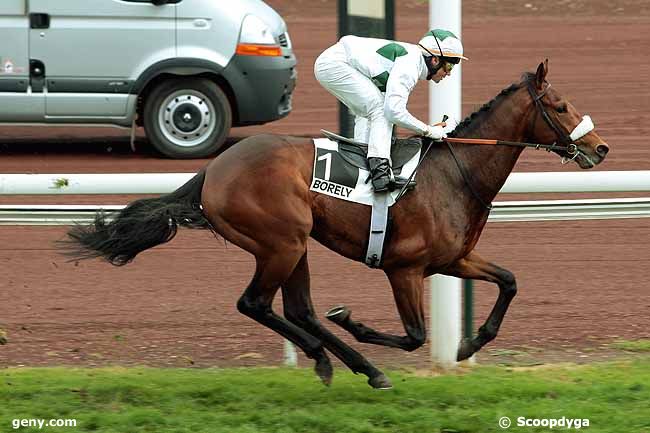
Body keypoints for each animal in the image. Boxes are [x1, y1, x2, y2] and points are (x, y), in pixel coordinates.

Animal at [62, 60, 608, 388]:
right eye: (560, 106)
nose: (600, 146)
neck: (456, 174)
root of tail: (213, 169)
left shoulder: (454, 259)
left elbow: (510, 281)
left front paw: (471, 342)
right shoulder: (404, 269)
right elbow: (413, 335)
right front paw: (355, 322)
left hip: (296, 244)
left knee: (297, 309)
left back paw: (340, 362)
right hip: (280, 242)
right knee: (255, 303)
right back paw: (346, 361)